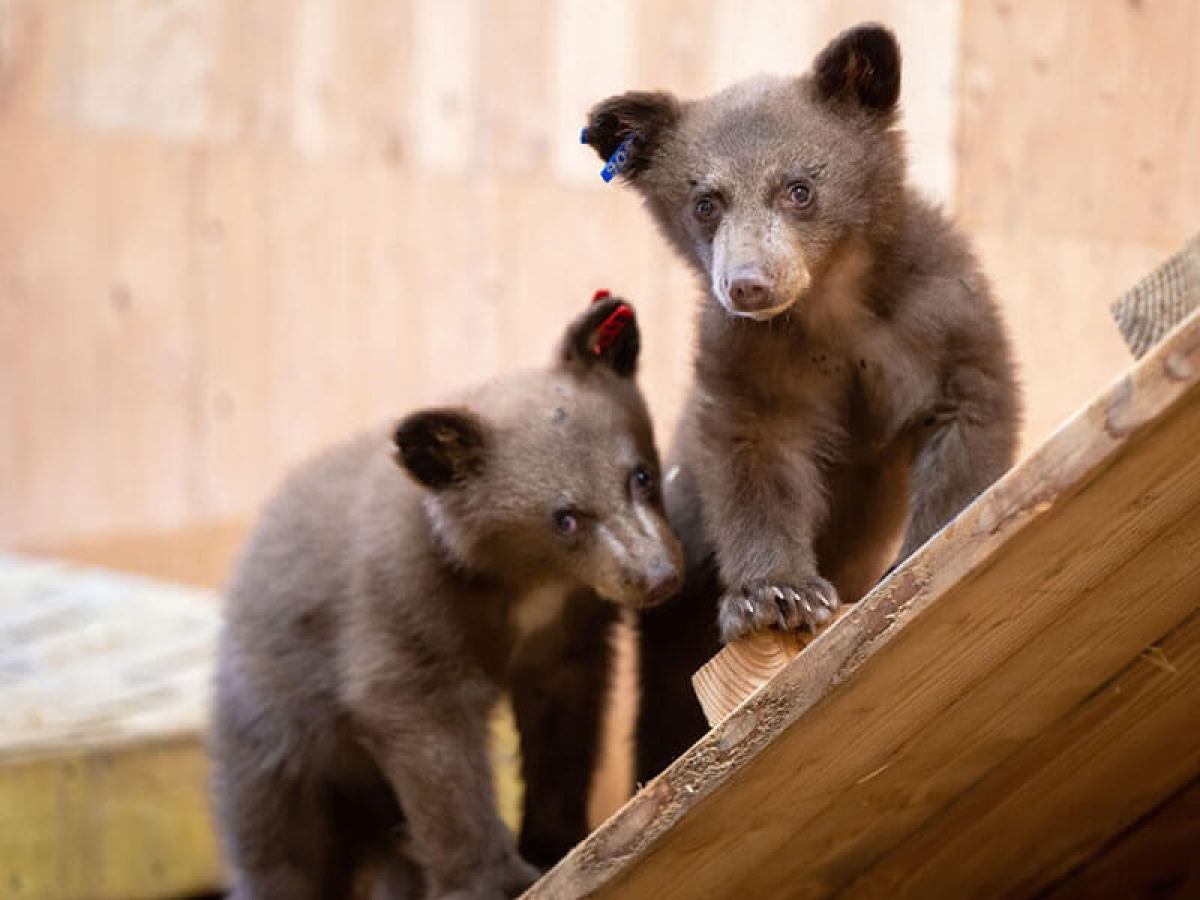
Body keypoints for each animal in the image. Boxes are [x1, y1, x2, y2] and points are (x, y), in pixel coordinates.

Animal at [211, 296, 684, 900]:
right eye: (565, 517)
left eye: (640, 476)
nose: (659, 576)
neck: (527, 583)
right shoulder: (403, 605)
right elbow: (432, 744)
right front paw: (494, 879)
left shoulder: (565, 637)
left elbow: (562, 727)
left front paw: (558, 842)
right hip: (273, 732)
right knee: (279, 847)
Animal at [582, 23, 1021, 782]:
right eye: (705, 202)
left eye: (799, 187)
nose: (749, 283)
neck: (831, 306)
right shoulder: (752, 363)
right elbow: (755, 458)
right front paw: (776, 595)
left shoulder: (939, 319)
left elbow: (970, 418)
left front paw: (916, 555)